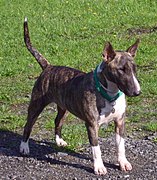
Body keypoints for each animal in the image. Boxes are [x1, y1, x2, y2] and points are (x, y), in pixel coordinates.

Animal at [20, 17, 140, 175]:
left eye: (134, 68)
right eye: (121, 70)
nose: (137, 92)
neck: (109, 94)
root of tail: (48, 67)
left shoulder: (120, 121)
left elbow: (121, 146)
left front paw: (123, 163)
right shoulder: (92, 125)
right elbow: (96, 149)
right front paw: (99, 167)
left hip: (64, 106)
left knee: (57, 121)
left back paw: (59, 141)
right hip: (36, 105)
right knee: (28, 125)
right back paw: (24, 147)